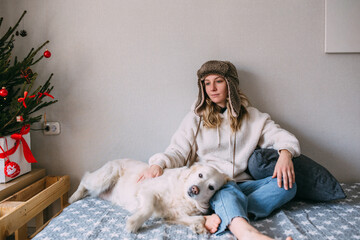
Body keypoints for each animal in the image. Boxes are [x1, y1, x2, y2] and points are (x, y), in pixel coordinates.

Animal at [69, 158, 229, 233]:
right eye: (200, 175)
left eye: (211, 187)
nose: (195, 189)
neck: (182, 195)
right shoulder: (147, 191)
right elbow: (148, 208)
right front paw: (134, 223)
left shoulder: (174, 215)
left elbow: (199, 218)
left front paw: (199, 227)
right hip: (103, 178)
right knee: (85, 179)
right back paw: (73, 197)